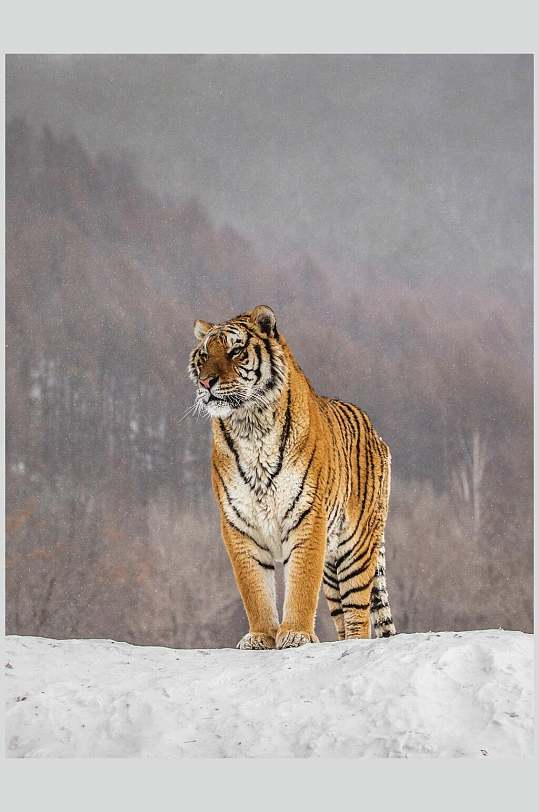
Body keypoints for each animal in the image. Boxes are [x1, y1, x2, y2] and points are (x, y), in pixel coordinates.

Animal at [188, 304, 396, 649]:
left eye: (235, 350)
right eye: (204, 355)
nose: (206, 382)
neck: (249, 425)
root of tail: (376, 432)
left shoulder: (307, 516)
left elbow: (301, 584)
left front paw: (296, 634)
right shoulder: (239, 524)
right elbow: (254, 588)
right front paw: (260, 637)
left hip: (356, 546)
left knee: (358, 612)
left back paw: (353, 643)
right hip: (332, 565)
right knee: (341, 614)